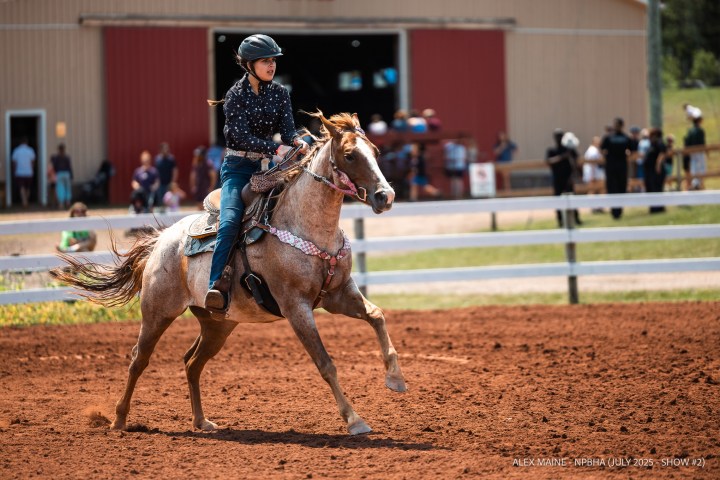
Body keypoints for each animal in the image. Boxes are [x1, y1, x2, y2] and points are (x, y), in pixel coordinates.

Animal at [51, 112, 406, 436]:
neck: (307, 225)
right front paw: (355, 420)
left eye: (375, 150)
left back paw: (201, 421)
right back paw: (119, 420)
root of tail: (161, 241)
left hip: (217, 324)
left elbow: (377, 316)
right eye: (350, 155)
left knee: (192, 362)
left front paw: (396, 379)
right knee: (139, 359)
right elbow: (325, 363)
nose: (386, 196)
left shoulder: (338, 294)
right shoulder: (296, 307)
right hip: (157, 313)